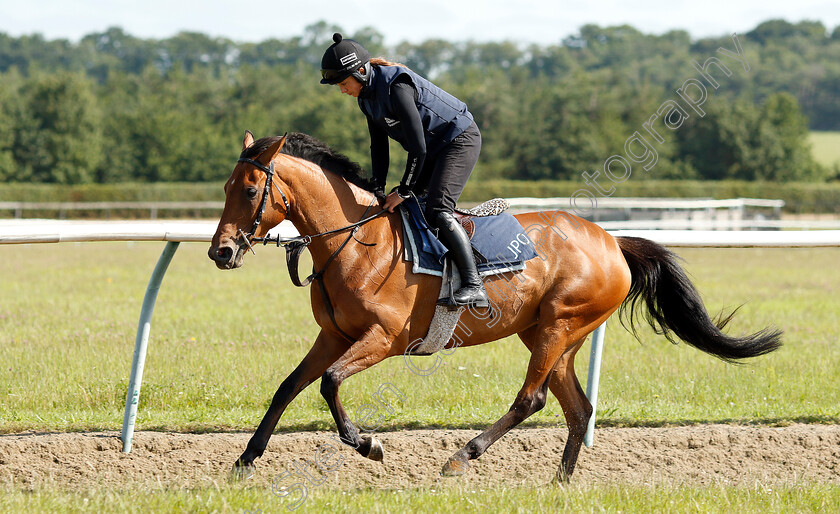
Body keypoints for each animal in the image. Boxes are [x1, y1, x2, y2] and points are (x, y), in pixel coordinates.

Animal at [208, 130, 780, 478]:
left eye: (251, 188)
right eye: (226, 185)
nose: (221, 251)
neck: (356, 242)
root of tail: (614, 242)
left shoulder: (384, 339)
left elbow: (328, 384)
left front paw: (368, 444)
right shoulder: (334, 336)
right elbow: (288, 387)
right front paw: (245, 461)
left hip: (558, 327)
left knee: (532, 399)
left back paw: (463, 456)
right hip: (554, 335)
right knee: (578, 407)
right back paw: (558, 485)